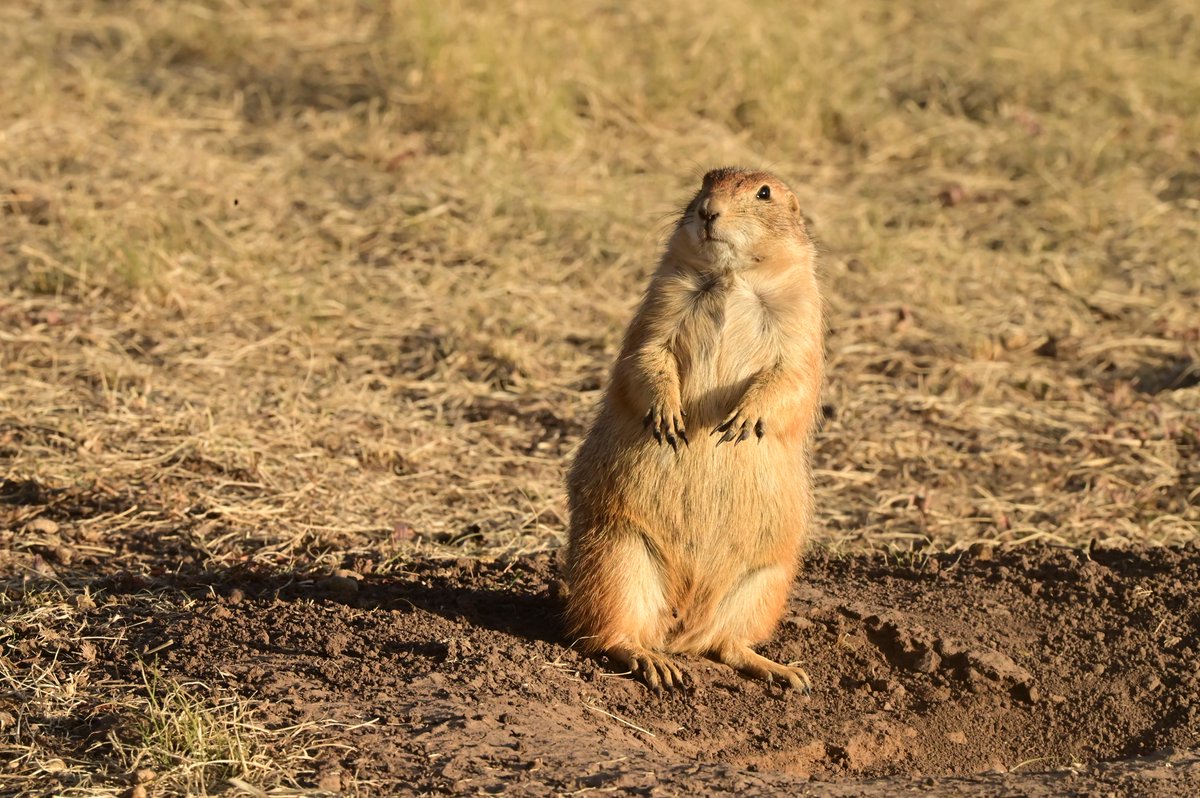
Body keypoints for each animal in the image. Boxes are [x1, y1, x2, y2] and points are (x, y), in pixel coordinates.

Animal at [564, 167, 825, 692]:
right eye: (706, 180)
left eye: (764, 192)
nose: (708, 210)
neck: (732, 278)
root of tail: (680, 629)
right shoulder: (660, 302)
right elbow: (647, 354)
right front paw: (669, 418)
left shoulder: (802, 315)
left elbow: (792, 374)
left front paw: (741, 419)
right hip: (616, 556)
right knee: (606, 635)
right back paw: (653, 663)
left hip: (766, 581)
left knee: (725, 644)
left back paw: (784, 671)